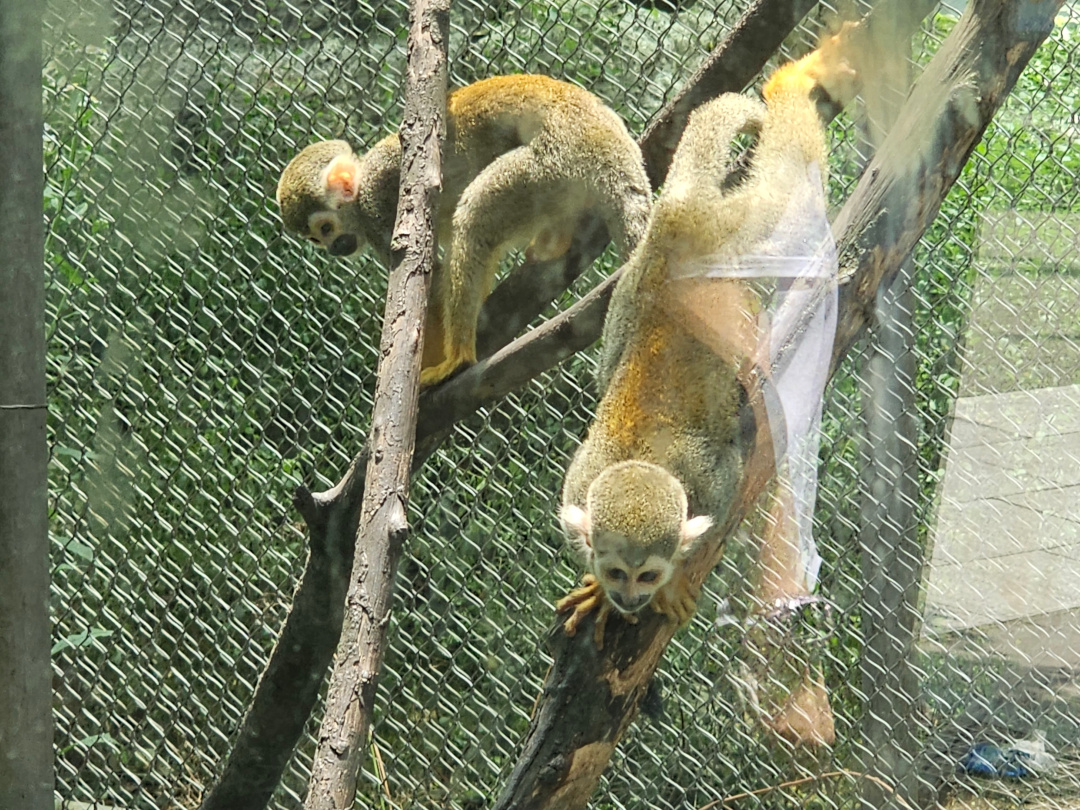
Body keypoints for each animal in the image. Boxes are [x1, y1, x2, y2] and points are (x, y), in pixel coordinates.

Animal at [275, 74, 652, 385]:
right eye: (315, 239)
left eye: (326, 228)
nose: (334, 248)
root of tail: (604, 137)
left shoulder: (378, 202)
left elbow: (431, 280)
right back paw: (553, 243)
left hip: (550, 161)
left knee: (473, 216)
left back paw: (458, 359)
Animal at [556, 27, 860, 650]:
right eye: (615, 570)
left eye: (647, 573)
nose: (629, 597)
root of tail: (683, 215)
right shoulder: (576, 489)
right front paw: (594, 593)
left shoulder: (709, 481)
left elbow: (725, 489)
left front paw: (676, 586)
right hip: (640, 282)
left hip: (748, 234)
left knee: (790, 188)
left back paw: (790, 82)